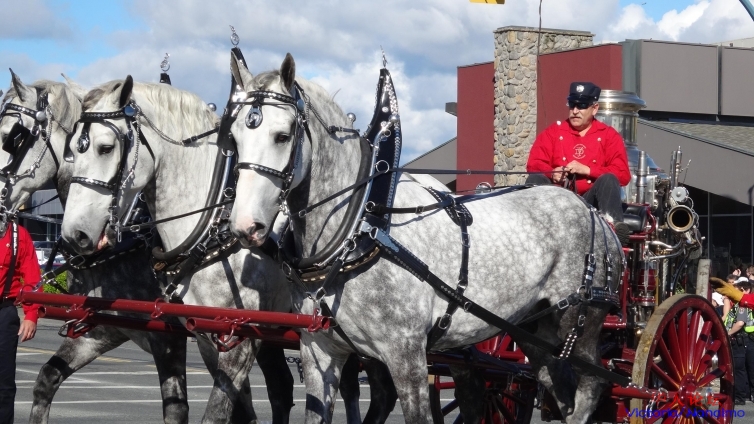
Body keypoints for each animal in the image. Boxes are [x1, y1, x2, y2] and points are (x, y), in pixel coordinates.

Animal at [57, 76, 397, 423]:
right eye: (71, 150)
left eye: (105, 148)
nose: (75, 234)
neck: (211, 222)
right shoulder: (201, 336)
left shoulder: (229, 339)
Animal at [227, 53, 624, 424]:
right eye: (234, 138)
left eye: (283, 135)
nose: (246, 226)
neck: (360, 229)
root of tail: (595, 215)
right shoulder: (319, 351)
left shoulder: (406, 354)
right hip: (532, 329)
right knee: (556, 382)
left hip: (581, 320)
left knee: (593, 384)